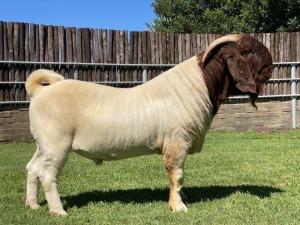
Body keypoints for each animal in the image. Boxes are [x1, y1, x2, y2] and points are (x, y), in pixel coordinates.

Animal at [24, 33, 274, 214]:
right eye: (248, 51)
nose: (270, 67)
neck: (196, 86)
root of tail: (39, 91)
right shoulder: (177, 141)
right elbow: (177, 174)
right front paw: (178, 206)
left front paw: (182, 198)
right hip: (56, 144)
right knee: (47, 175)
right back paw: (58, 211)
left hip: (42, 144)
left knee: (32, 168)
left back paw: (32, 204)